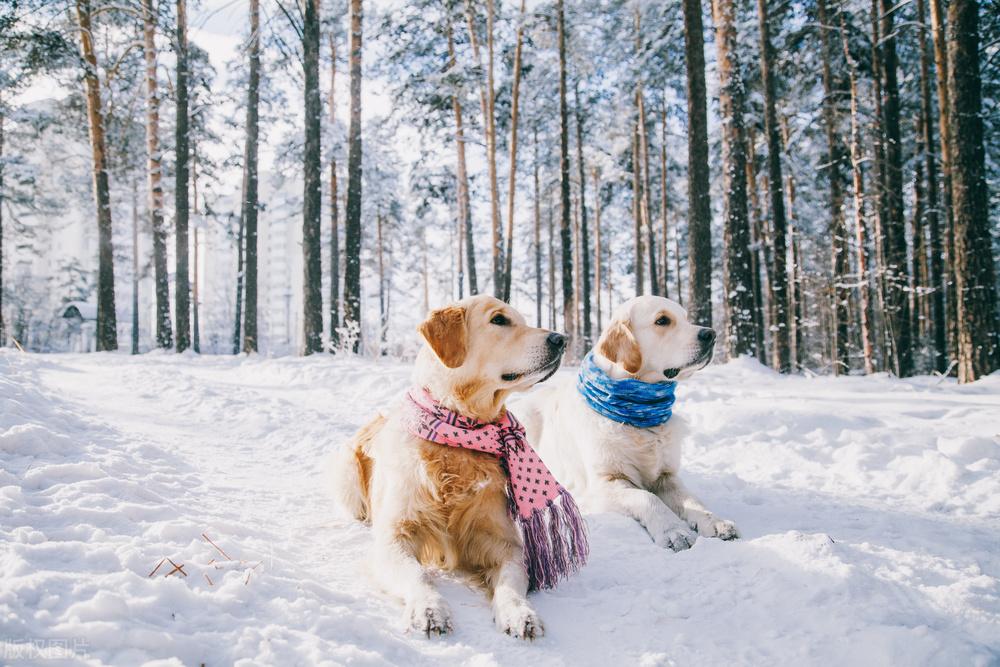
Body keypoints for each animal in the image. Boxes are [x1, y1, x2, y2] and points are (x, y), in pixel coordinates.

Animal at [332, 294, 584, 640]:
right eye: (499, 320)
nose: (561, 339)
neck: (459, 436)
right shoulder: (394, 537)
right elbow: (418, 575)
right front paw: (429, 609)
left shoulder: (504, 542)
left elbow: (510, 582)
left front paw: (520, 614)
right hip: (346, 472)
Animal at [520, 298, 740, 552]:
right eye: (662, 320)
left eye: (685, 318)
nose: (711, 334)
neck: (638, 413)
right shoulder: (604, 484)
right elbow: (647, 498)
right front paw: (673, 531)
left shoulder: (666, 476)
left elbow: (692, 500)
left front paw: (715, 522)